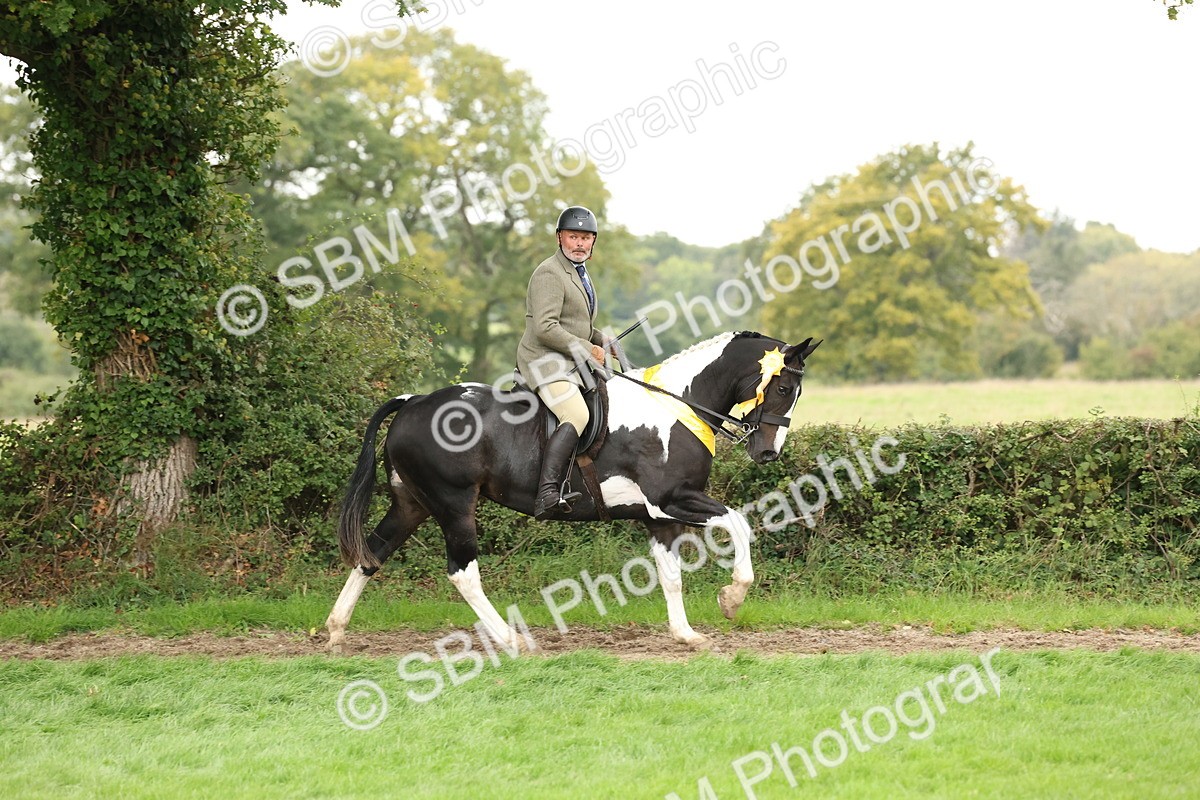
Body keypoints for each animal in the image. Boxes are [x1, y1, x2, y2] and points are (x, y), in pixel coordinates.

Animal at [326, 331, 821, 652]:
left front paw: (686, 635)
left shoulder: (659, 517)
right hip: (454, 505)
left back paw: (335, 631)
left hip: (412, 504)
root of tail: (411, 403)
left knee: (372, 554)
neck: (675, 406)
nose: (768, 452)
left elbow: (671, 575)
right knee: (462, 573)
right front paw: (732, 598)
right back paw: (511, 639)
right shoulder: (674, 499)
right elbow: (738, 523)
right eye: (783, 387)